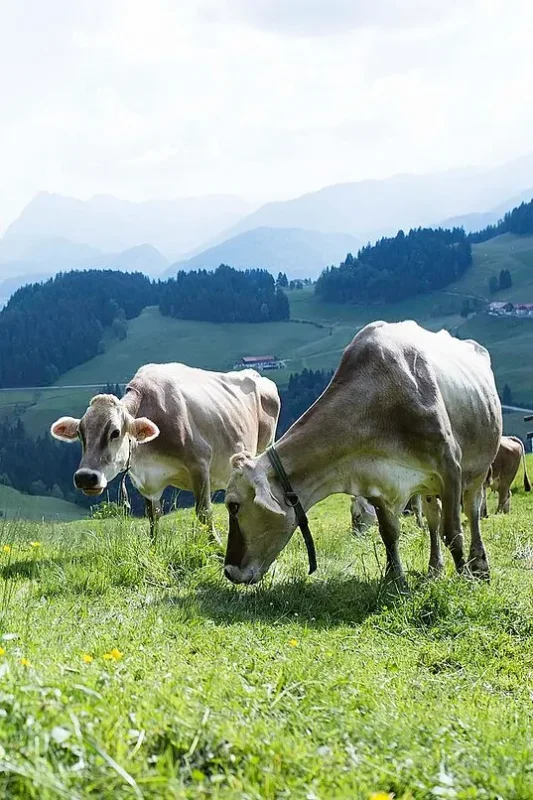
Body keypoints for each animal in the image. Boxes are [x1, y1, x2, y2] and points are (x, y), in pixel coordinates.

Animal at [50, 363, 280, 541]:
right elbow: (154, 516)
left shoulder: (199, 463)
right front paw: (153, 548)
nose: (85, 477)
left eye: (115, 432)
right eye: (80, 433)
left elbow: (204, 511)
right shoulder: (146, 480)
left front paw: (216, 547)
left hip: (265, 447)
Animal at [223, 320, 502, 585]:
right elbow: (389, 533)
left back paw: (480, 566)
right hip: (430, 487)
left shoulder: (449, 467)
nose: (229, 571)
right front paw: (395, 578)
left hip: (477, 470)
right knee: (433, 519)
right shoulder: (376, 478)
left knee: (472, 511)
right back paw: (435, 568)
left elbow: (453, 532)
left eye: (233, 506)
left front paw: (465, 579)